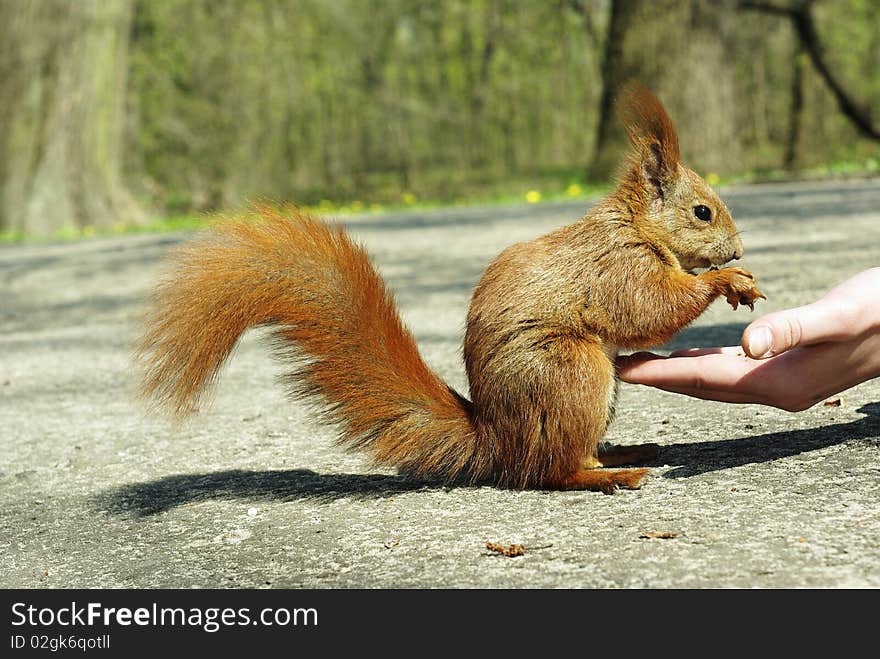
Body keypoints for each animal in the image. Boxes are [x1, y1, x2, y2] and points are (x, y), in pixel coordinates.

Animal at [138, 82, 764, 492]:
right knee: (550, 473)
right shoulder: (616, 267)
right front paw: (726, 281)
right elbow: (649, 308)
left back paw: (624, 452)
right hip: (572, 372)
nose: (737, 251)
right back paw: (614, 473)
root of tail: (498, 442)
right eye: (703, 212)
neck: (633, 226)